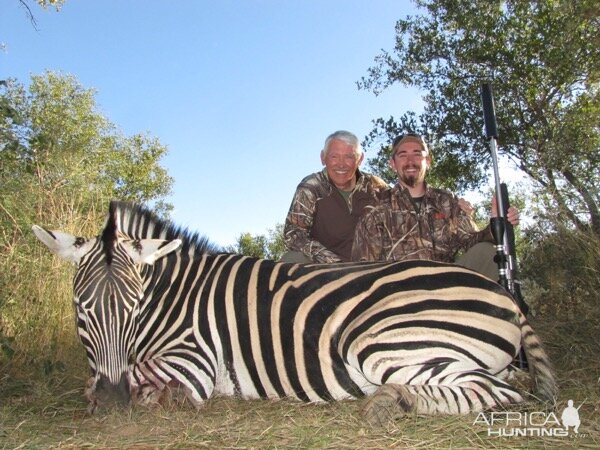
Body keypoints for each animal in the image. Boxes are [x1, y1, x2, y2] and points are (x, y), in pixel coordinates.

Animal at [32, 202, 556, 424]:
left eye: (134, 305)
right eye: (80, 309)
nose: (113, 401)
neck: (173, 297)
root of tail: (503, 293)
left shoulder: (193, 363)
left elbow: (152, 384)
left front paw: (137, 396)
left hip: (380, 342)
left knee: (500, 392)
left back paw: (394, 402)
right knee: (508, 382)